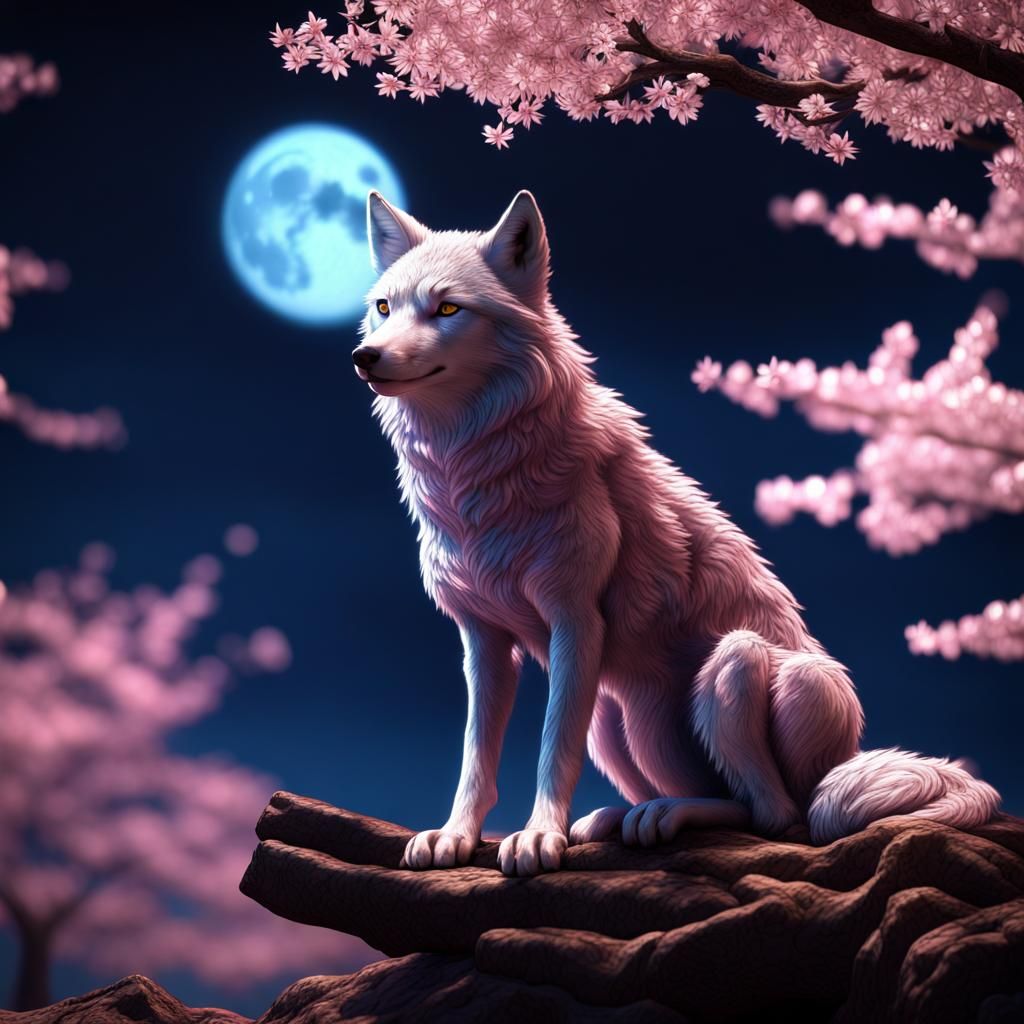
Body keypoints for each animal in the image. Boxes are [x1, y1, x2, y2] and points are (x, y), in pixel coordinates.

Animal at [353, 189, 1001, 878]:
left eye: (448, 308)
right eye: (385, 307)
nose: (365, 357)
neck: (473, 474)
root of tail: (849, 755)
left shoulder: (575, 622)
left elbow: (553, 746)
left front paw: (538, 837)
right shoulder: (483, 639)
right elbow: (477, 753)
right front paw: (455, 836)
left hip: (737, 666)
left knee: (777, 815)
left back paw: (665, 816)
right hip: (614, 718)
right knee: (731, 800)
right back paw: (623, 817)